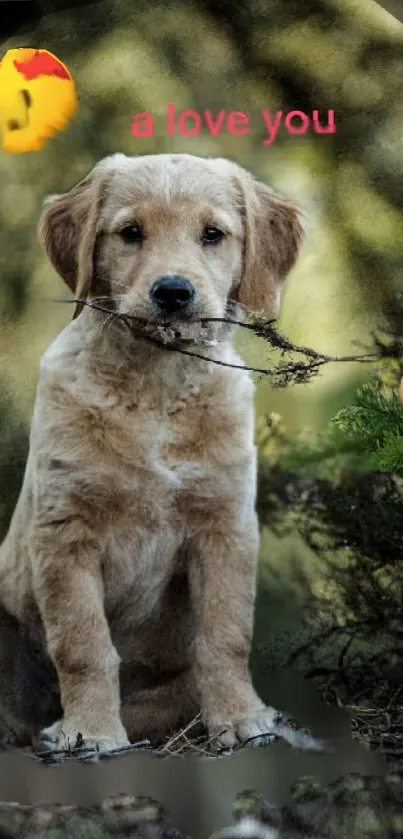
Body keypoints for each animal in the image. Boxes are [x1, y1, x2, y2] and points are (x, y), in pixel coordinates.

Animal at [0, 154, 304, 752]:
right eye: (131, 233)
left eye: (212, 235)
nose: (173, 292)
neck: (156, 389)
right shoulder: (64, 532)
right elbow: (84, 643)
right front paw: (91, 731)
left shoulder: (225, 526)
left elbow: (226, 634)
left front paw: (240, 717)